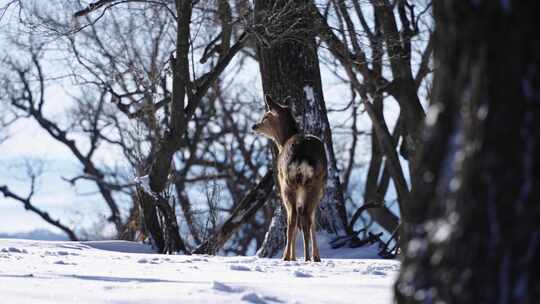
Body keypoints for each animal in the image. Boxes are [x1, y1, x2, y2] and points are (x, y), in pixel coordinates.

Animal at [252, 95, 326, 262]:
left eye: (266, 116)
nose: (254, 126)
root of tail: (303, 157)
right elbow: (310, 221)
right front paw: (315, 257)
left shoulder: (281, 184)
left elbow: (292, 220)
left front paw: (292, 256)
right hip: (316, 183)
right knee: (308, 218)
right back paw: (308, 257)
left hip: (288, 183)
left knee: (293, 219)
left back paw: (286, 257)